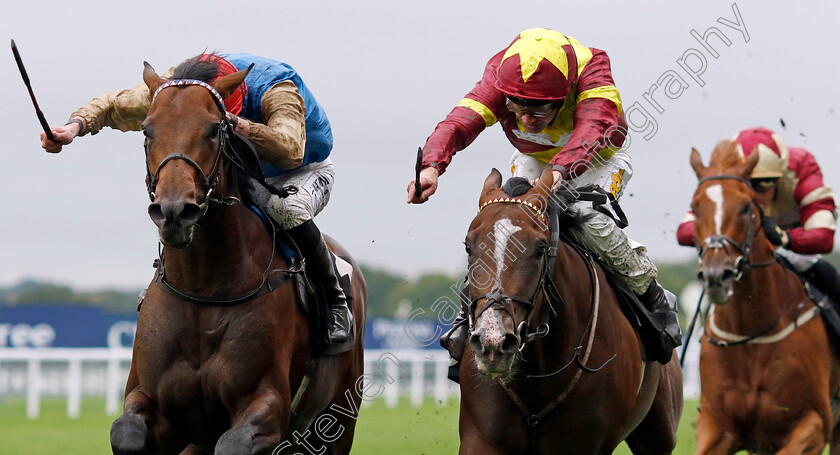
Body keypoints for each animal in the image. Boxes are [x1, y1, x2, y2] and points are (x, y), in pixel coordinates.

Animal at [106, 62, 366, 454]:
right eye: (147, 131)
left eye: (214, 129)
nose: (174, 212)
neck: (204, 289)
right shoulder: (153, 401)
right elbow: (126, 432)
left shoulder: (266, 402)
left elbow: (235, 443)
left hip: (337, 420)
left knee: (289, 208)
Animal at [460, 168, 684, 455]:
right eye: (469, 246)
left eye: (540, 249)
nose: (493, 342)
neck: (539, 373)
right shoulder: (482, 439)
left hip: (658, 432)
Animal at [688, 140, 840, 455]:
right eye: (695, 208)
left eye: (746, 207)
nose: (716, 276)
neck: (751, 332)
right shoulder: (717, 423)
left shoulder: (816, 422)